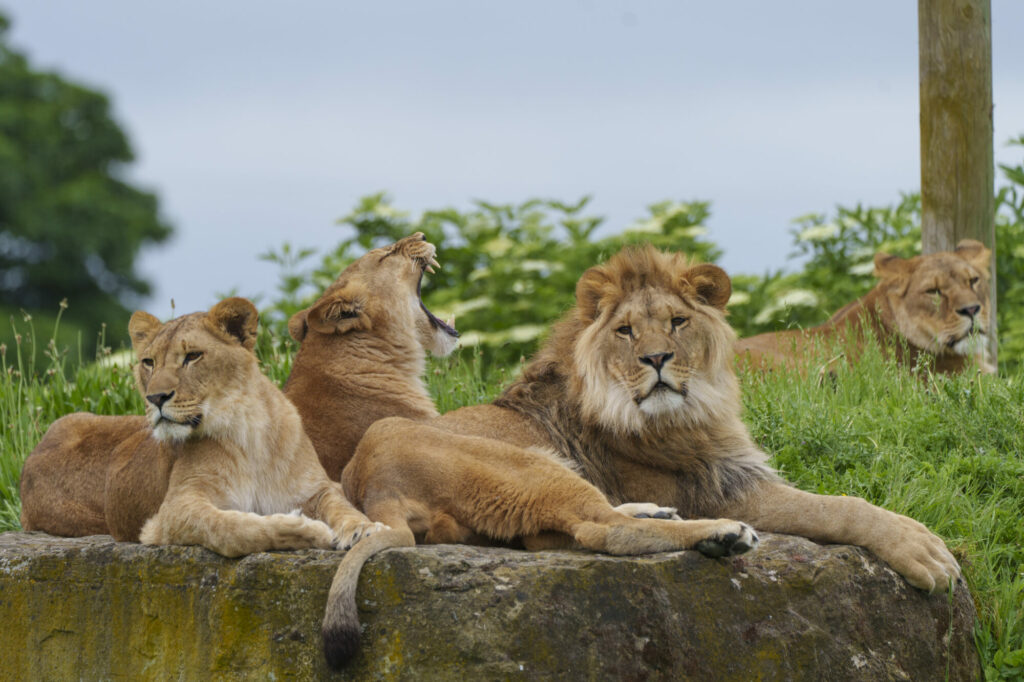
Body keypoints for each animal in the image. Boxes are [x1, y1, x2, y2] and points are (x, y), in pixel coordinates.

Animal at [322, 245, 960, 667]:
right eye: (626, 331)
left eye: (677, 322)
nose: (656, 359)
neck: (693, 407)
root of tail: (372, 489)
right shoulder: (725, 486)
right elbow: (841, 506)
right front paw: (923, 549)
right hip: (532, 466)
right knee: (602, 531)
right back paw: (722, 536)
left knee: (578, 528)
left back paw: (665, 518)